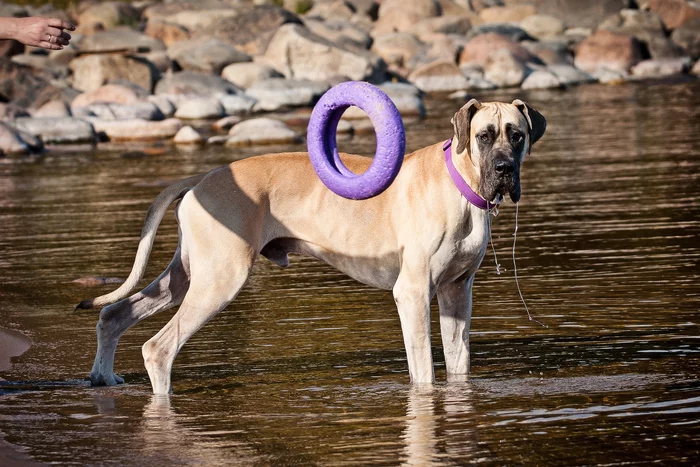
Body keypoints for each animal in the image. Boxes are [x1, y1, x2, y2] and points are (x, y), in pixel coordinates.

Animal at [78, 98, 548, 394]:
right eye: (484, 136)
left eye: (516, 135)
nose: (504, 169)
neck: (461, 186)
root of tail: (203, 177)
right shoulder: (413, 294)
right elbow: (424, 373)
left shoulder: (456, 293)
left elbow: (459, 365)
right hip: (219, 281)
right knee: (158, 348)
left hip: (186, 275)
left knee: (115, 313)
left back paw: (103, 378)